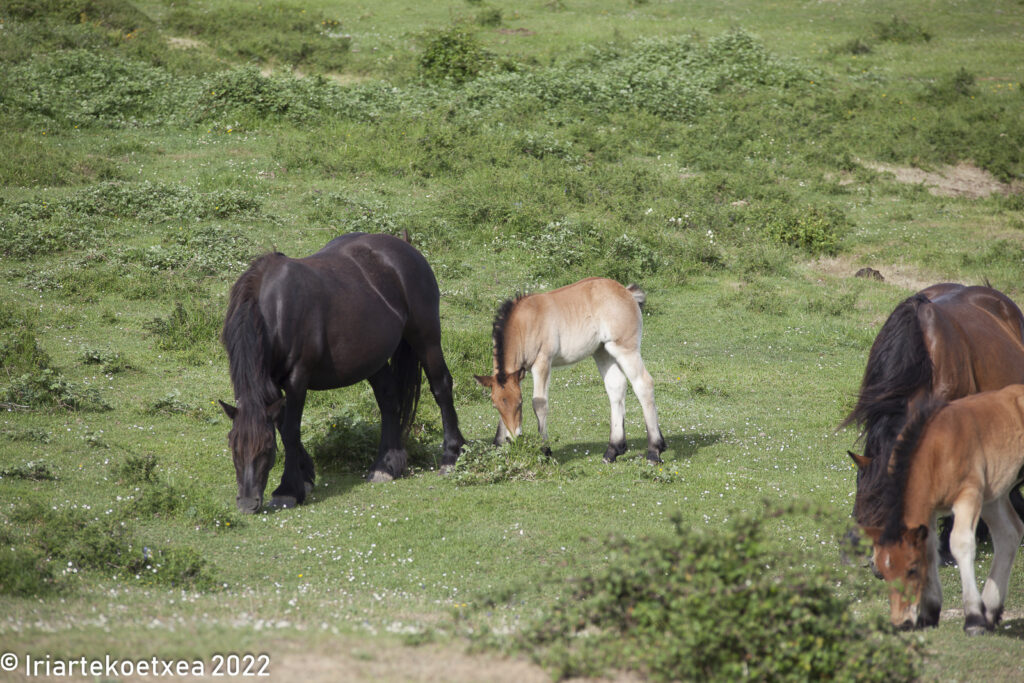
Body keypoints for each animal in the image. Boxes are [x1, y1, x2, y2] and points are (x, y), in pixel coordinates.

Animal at [224, 233, 468, 511]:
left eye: (266, 448)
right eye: (233, 446)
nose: (247, 503)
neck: (276, 309)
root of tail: (406, 246)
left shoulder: (297, 378)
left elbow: (289, 431)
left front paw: (288, 489)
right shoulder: (273, 382)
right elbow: (281, 424)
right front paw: (305, 475)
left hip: (426, 338)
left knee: (441, 387)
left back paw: (450, 456)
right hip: (373, 357)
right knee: (389, 400)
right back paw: (386, 465)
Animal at [475, 278, 667, 464]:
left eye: (520, 404)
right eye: (495, 405)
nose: (514, 438)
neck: (525, 324)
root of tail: (626, 291)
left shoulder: (542, 362)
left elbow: (539, 404)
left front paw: (545, 450)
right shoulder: (518, 374)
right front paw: (498, 446)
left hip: (625, 349)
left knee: (643, 384)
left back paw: (654, 451)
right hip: (602, 351)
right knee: (616, 387)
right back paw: (612, 451)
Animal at [851, 387, 1024, 634]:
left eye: (912, 570)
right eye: (885, 573)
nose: (900, 621)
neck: (937, 450)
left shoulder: (969, 496)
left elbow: (960, 544)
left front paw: (974, 618)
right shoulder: (931, 509)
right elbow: (930, 549)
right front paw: (929, 613)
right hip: (994, 495)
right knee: (1009, 534)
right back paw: (991, 610)